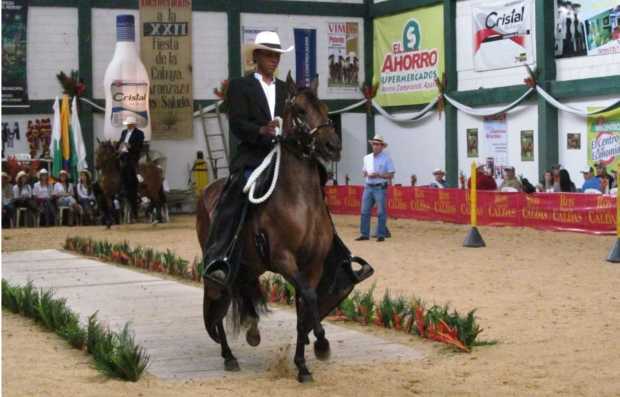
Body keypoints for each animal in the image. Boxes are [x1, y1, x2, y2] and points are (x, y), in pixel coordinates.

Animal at [196, 73, 346, 380]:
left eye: (325, 108)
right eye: (300, 110)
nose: (333, 146)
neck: (299, 201)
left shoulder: (312, 265)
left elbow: (305, 307)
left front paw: (302, 365)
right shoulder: (283, 260)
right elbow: (309, 297)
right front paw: (322, 344)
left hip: (247, 264)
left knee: (243, 290)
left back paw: (253, 330)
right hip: (223, 266)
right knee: (218, 303)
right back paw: (229, 356)